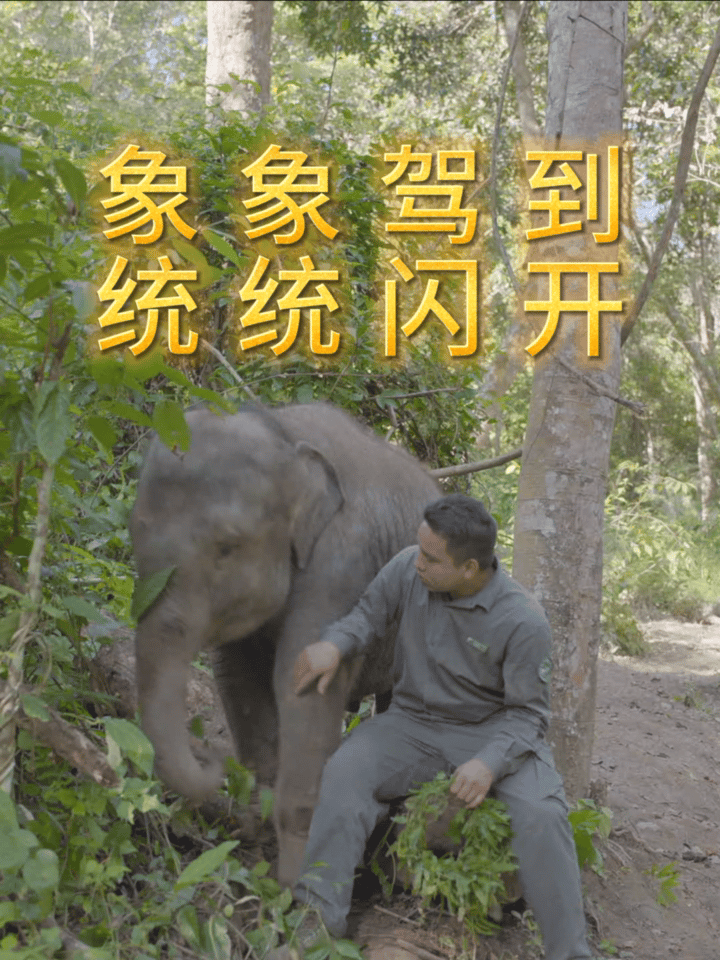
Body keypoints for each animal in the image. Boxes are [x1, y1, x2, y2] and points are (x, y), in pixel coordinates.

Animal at [130, 402, 440, 883]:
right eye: (133, 533)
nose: (210, 758)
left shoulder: (341, 563)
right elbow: (238, 679)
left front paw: (296, 883)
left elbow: (303, 680)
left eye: (227, 546)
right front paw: (260, 837)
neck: (281, 436)